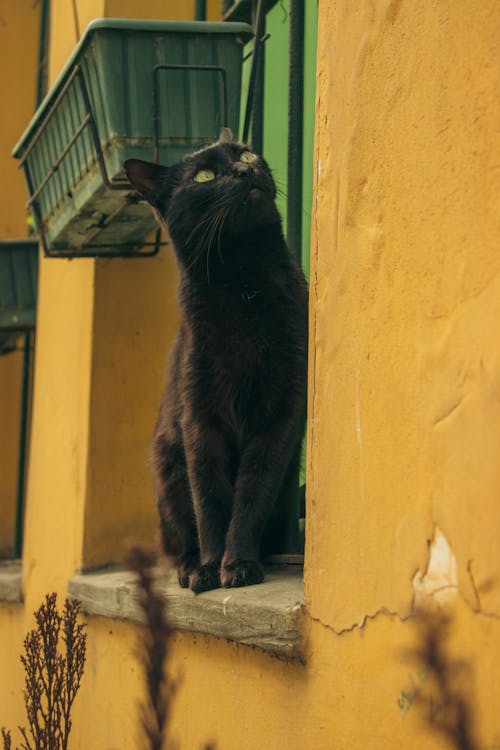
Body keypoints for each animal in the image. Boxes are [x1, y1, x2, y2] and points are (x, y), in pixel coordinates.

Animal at [124, 128, 308, 592]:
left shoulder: (281, 414)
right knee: (179, 538)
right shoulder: (198, 416)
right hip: (168, 471)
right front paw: (209, 567)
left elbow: (252, 492)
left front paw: (238, 564)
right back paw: (189, 565)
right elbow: (210, 497)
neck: (243, 283)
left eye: (246, 153)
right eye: (204, 176)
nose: (245, 169)